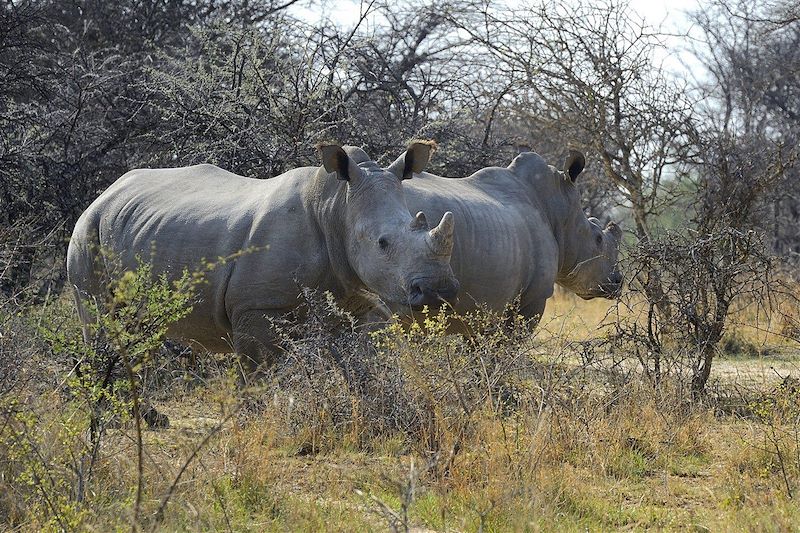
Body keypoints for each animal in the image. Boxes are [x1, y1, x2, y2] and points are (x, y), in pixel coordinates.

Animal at [66, 143, 460, 372]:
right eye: (382, 243)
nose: (439, 291)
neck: (336, 206)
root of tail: (107, 191)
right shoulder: (255, 307)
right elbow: (259, 376)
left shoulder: (356, 296)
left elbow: (369, 354)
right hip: (88, 230)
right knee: (103, 320)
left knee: (136, 329)